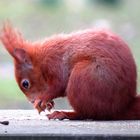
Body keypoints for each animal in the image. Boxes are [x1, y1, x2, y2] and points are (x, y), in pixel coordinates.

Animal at [0, 23, 140, 120]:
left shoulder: (55, 63)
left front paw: (43, 99)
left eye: (25, 84)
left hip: (84, 75)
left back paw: (64, 114)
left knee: (87, 114)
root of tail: (120, 107)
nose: (31, 101)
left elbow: (59, 85)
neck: (41, 59)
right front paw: (48, 102)